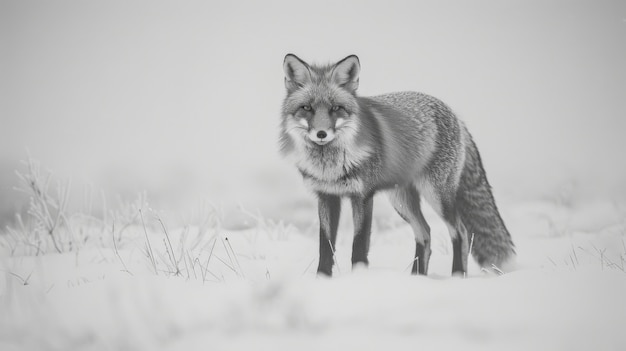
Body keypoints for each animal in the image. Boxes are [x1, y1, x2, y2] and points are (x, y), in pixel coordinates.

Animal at [278, 53, 512, 278]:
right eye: (307, 108)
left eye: (336, 108)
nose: (321, 134)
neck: (330, 167)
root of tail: (455, 115)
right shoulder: (326, 196)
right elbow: (325, 248)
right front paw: (322, 280)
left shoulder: (363, 196)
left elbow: (358, 246)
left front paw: (359, 278)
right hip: (401, 201)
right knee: (425, 233)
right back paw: (417, 279)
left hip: (437, 196)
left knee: (460, 232)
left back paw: (456, 276)